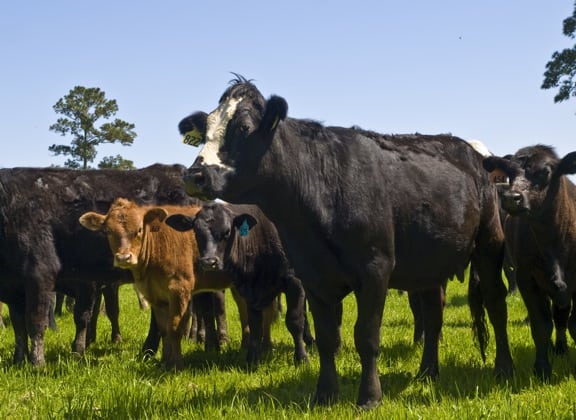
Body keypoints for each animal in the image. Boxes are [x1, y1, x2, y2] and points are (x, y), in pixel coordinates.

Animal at [0, 162, 212, 366]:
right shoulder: (13, 286)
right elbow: (19, 327)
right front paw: (18, 360)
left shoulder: (40, 275)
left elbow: (37, 321)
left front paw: (38, 363)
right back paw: (150, 351)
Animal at [164, 202, 312, 366]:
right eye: (196, 232)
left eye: (227, 232)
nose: (209, 262)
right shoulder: (250, 290)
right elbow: (254, 325)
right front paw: (252, 359)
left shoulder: (295, 282)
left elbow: (295, 321)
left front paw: (302, 358)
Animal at [482, 146, 576, 378]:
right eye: (510, 173)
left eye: (545, 173)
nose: (510, 198)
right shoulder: (527, 279)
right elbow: (541, 325)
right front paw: (542, 368)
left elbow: (574, 324)